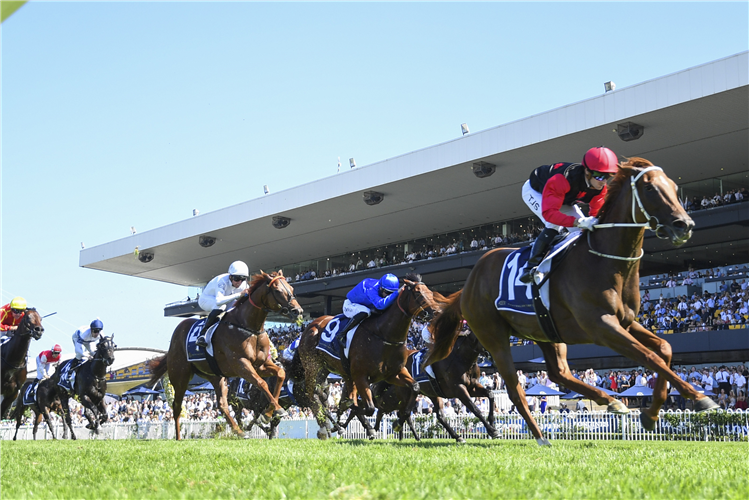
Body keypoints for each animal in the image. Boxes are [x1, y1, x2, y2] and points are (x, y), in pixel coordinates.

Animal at [148, 272, 302, 440]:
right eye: (278, 290)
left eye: (292, 288)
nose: (298, 311)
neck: (248, 327)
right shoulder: (241, 365)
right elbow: (262, 383)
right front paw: (272, 412)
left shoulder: (260, 365)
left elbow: (280, 374)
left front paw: (270, 412)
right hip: (180, 375)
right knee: (177, 406)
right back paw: (178, 438)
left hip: (216, 376)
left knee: (222, 405)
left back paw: (239, 431)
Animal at [296, 276, 442, 440]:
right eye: (418, 293)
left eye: (430, 292)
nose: (437, 312)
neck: (383, 334)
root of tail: (310, 326)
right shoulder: (360, 376)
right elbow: (368, 408)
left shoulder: (393, 373)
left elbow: (415, 387)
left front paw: (398, 422)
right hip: (312, 366)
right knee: (313, 395)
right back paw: (330, 428)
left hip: (327, 369)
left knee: (321, 395)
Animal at [424, 157, 716, 446]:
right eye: (650, 188)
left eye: (675, 187)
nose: (684, 225)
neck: (606, 260)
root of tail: (468, 284)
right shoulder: (601, 326)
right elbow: (649, 356)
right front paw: (699, 397)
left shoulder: (625, 322)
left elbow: (664, 349)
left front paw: (651, 414)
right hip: (493, 336)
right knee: (515, 389)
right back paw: (540, 436)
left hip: (545, 332)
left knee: (558, 373)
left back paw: (609, 401)